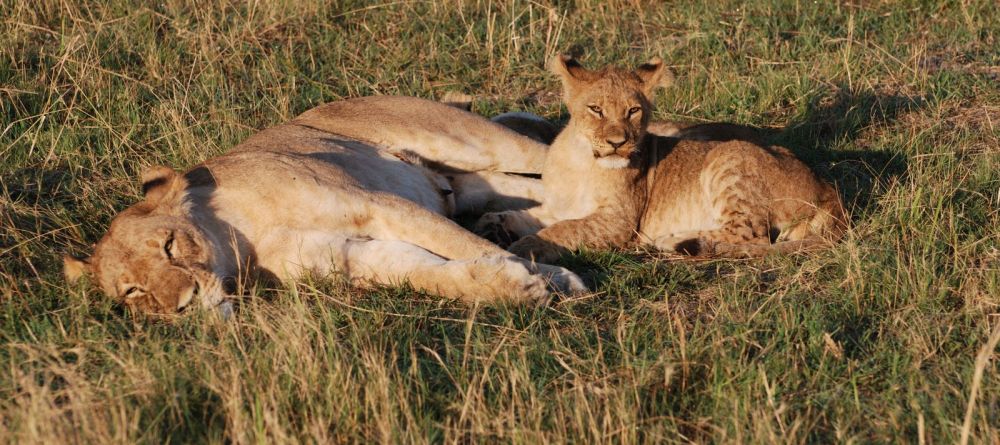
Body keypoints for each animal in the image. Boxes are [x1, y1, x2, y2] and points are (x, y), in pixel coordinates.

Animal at [64, 96, 586, 315]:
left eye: (170, 245)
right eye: (133, 292)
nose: (183, 306)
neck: (241, 246)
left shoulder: (380, 205)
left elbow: (463, 245)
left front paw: (555, 280)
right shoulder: (351, 256)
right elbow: (434, 273)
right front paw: (514, 287)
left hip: (472, 141)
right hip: (477, 181)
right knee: (552, 192)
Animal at [474, 55, 848, 262]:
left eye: (633, 111)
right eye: (596, 109)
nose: (617, 143)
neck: (581, 161)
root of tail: (827, 187)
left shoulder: (619, 222)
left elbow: (565, 229)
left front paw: (525, 247)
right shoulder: (556, 207)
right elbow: (525, 215)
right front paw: (491, 226)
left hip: (727, 156)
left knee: (750, 236)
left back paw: (677, 242)